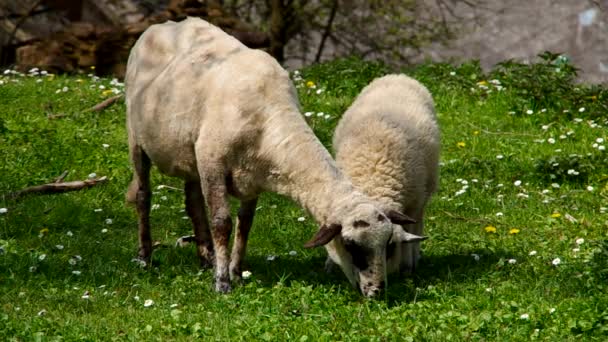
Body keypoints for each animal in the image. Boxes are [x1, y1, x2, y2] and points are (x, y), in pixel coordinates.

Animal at [123, 18, 418, 296]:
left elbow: (245, 225)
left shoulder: (251, 176)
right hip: (136, 138)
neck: (270, 120)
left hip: (190, 155)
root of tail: (163, 25)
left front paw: (236, 272)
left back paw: (206, 258)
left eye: (388, 244)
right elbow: (222, 223)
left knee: (193, 203)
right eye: (350, 244)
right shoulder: (212, 163)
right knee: (143, 195)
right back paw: (145, 256)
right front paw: (222, 283)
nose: (377, 291)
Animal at [330, 75, 440, 276]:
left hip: (423, 193)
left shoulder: (412, 205)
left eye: (389, 248)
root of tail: (398, 76)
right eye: (351, 247)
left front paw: (407, 266)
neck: (372, 181)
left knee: (418, 223)